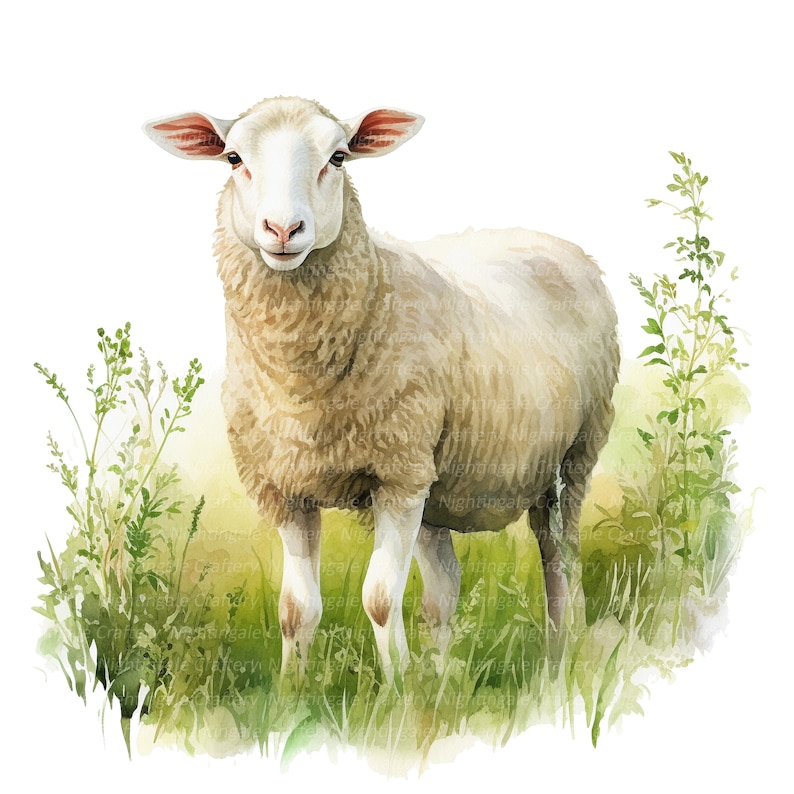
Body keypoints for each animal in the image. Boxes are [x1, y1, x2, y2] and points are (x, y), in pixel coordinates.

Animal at [144, 96, 619, 685]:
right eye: (233, 158)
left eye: (339, 156)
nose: (283, 228)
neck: (302, 389)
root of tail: (553, 240)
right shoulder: (287, 487)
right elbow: (295, 608)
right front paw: (292, 690)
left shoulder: (395, 477)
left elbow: (378, 598)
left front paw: (395, 690)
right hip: (436, 478)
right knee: (444, 588)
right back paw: (442, 677)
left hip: (569, 458)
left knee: (559, 561)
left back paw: (561, 658)